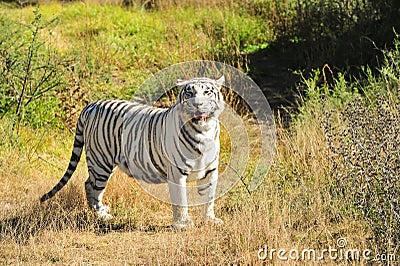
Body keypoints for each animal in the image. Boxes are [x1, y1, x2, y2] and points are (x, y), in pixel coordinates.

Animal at [40, 76, 225, 230]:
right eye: (189, 93)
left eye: (207, 92)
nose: (198, 104)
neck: (204, 132)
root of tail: (91, 105)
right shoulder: (177, 172)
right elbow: (181, 200)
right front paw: (183, 224)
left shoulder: (210, 171)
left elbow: (208, 198)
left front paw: (210, 220)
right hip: (101, 162)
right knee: (92, 186)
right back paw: (102, 215)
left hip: (106, 162)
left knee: (89, 184)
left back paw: (100, 211)